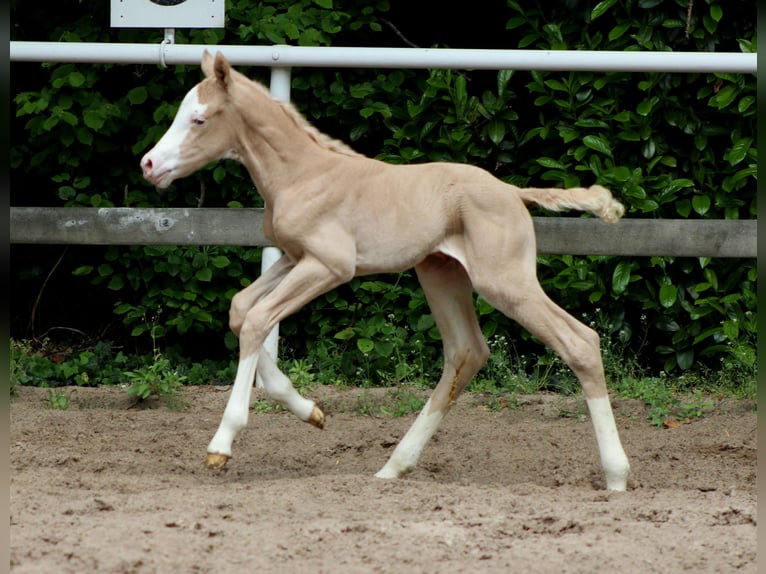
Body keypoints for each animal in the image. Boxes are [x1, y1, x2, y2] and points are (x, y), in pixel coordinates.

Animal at [141, 50, 630, 491]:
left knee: (580, 342)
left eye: (199, 120)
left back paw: (617, 476)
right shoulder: (293, 258)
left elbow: (258, 319)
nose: (148, 165)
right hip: (441, 274)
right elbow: (242, 310)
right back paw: (393, 467)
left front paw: (222, 444)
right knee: (466, 352)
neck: (302, 175)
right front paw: (312, 412)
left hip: (506, 282)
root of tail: (513, 192)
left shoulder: (329, 265)